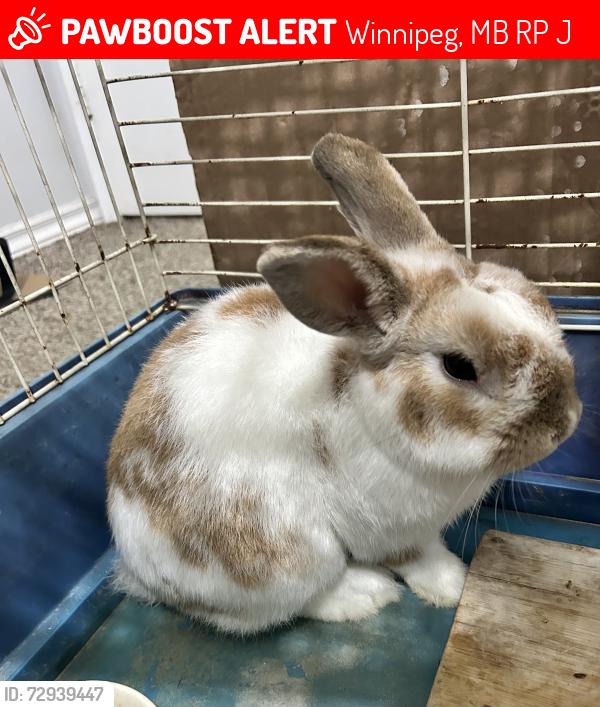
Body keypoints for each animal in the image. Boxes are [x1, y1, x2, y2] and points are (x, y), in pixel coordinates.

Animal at [107, 133, 582, 634]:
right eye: (459, 366)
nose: (565, 424)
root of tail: (135, 568)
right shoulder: (391, 532)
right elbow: (417, 558)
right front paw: (452, 586)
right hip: (288, 556)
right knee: (282, 606)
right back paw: (365, 595)